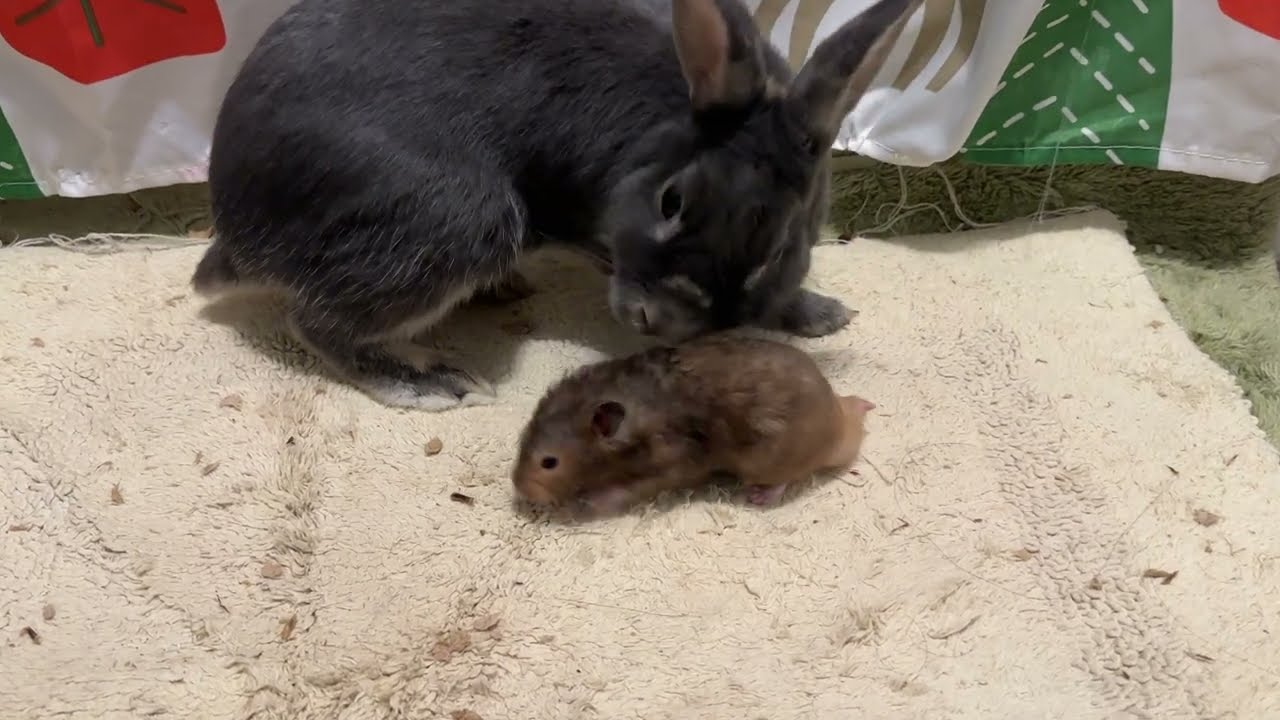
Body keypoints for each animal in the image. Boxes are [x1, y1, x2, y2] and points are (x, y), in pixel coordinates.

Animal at [192, 0, 923, 410]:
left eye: (779, 246)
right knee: (317, 322)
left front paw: (823, 314)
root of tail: (237, 227)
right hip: (462, 221)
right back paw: (436, 383)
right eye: (672, 201)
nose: (659, 319)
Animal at [511, 332, 876, 513]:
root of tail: (836, 424)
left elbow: (627, 490)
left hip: (767, 460)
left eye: (549, 463)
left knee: (789, 477)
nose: (520, 490)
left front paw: (588, 502)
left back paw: (759, 497)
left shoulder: (672, 466)